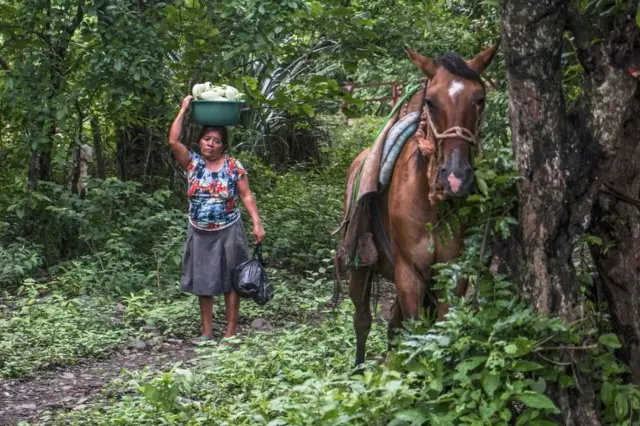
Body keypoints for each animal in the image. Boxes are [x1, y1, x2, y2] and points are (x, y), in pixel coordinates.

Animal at [340, 44, 500, 366]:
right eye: (430, 101)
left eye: (480, 99)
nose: (455, 178)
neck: (432, 205)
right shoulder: (409, 272)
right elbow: (415, 334)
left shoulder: (452, 271)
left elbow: (440, 327)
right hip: (359, 264)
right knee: (362, 317)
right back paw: (359, 366)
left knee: (392, 324)